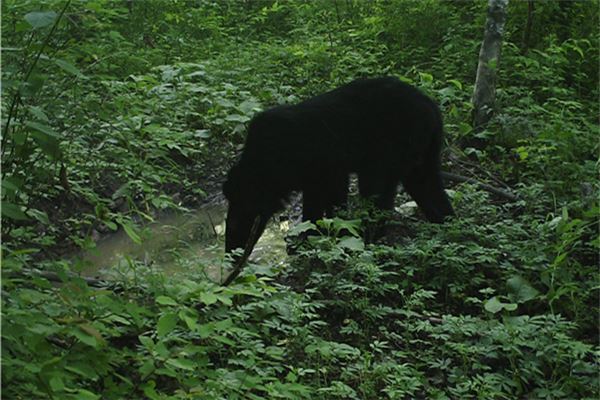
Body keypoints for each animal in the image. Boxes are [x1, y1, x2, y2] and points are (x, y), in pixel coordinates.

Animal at [223, 77, 452, 253]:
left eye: (237, 221)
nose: (231, 251)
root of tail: (432, 109)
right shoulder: (317, 176)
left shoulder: (328, 169)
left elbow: (330, 207)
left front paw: (329, 238)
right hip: (423, 157)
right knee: (430, 192)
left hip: (387, 157)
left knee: (377, 198)